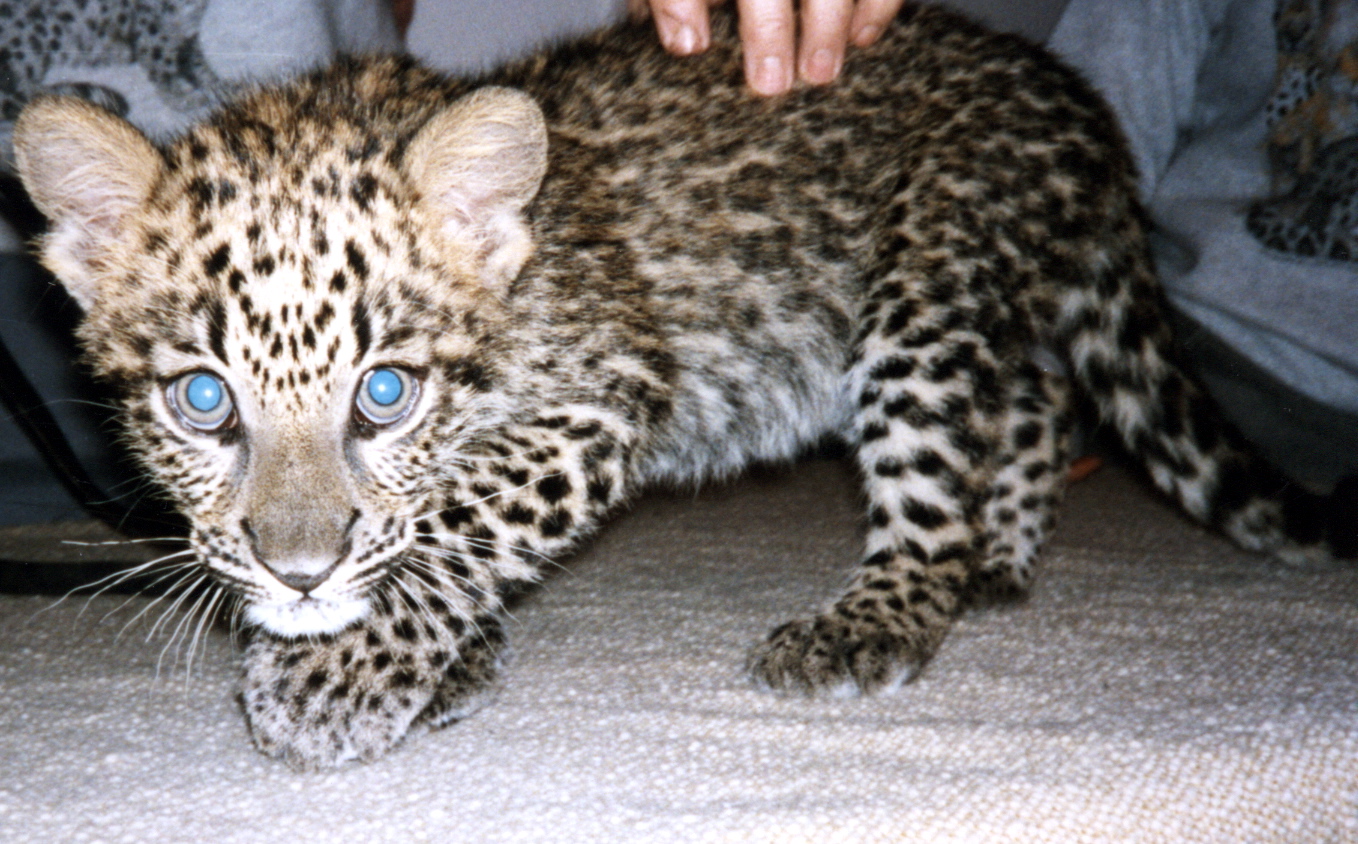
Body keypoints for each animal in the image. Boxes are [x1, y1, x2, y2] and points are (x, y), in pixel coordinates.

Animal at [14, 4, 1357, 770]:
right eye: (202, 403)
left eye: (383, 392)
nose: (298, 572)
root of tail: (1064, 94)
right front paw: (433, 661)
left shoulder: (606, 391)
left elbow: (459, 517)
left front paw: (340, 670)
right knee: (1032, 397)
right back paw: (999, 558)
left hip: (926, 283)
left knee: (942, 469)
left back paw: (880, 613)